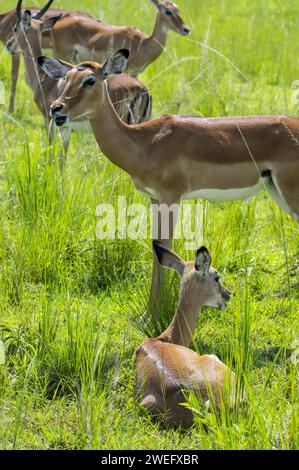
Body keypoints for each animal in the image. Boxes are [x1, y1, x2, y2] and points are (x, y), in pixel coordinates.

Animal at [5, 0, 152, 166]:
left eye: (15, 28)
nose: (9, 45)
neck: (43, 80)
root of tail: (142, 89)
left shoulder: (51, 122)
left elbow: (55, 154)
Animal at [38, 47, 299, 302]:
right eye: (66, 78)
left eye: (90, 80)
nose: (56, 109)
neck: (145, 143)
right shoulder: (154, 197)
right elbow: (157, 248)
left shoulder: (171, 197)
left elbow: (165, 245)